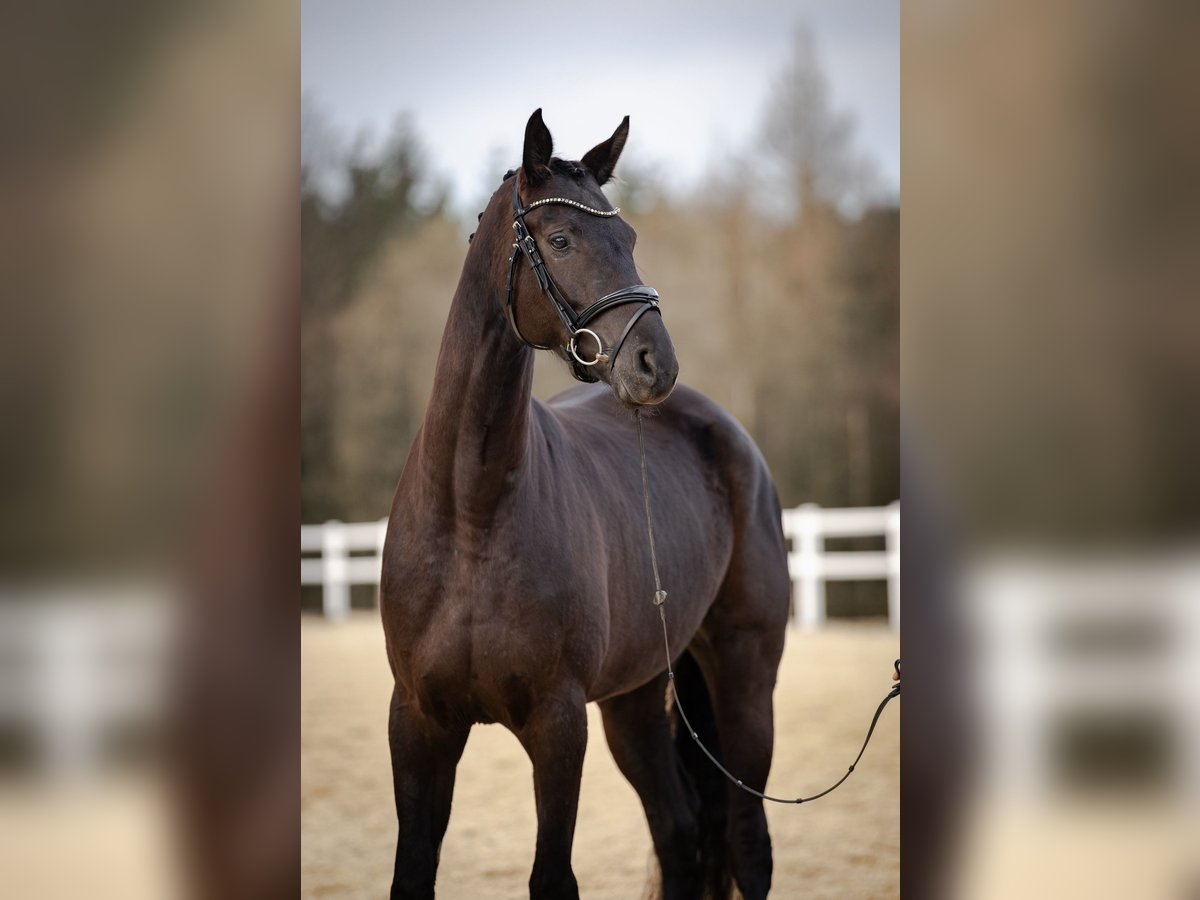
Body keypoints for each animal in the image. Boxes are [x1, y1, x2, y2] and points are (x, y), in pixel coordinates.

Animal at [384, 111, 792, 900]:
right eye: (562, 240)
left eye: (629, 237)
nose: (654, 365)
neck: (471, 514)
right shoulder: (417, 723)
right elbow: (412, 872)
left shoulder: (557, 723)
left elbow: (553, 878)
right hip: (635, 701)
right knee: (679, 832)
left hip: (745, 673)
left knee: (747, 843)